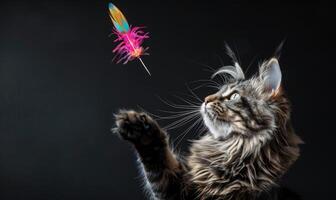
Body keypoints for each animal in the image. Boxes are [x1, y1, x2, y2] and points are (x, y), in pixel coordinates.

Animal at [113, 48, 302, 200]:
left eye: (233, 96)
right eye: (218, 91)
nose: (206, 100)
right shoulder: (178, 190)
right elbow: (158, 162)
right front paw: (140, 130)